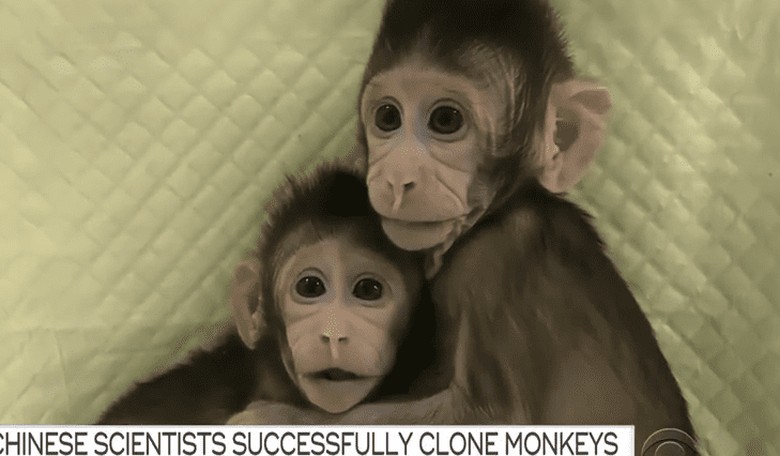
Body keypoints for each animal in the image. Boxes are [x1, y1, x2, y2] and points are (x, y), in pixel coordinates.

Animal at [235, 0, 697, 453]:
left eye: (445, 120)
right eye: (388, 117)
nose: (396, 178)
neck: (497, 213)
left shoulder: (497, 261)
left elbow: (492, 420)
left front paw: (272, 423)